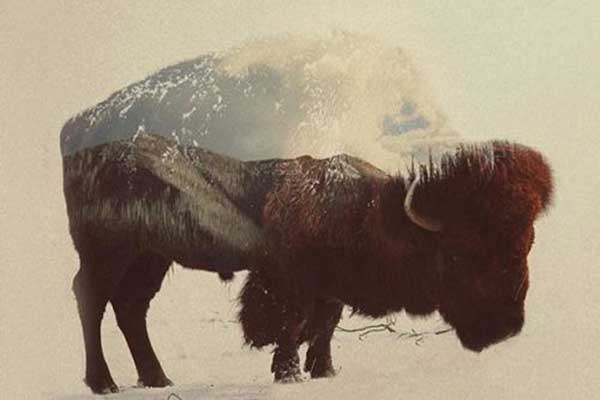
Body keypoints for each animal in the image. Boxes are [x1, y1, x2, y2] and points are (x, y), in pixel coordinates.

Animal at [62, 133, 552, 392]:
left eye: (525, 245)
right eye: (459, 252)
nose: (506, 326)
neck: (367, 214)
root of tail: (81, 157)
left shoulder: (328, 291)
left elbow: (325, 325)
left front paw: (324, 370)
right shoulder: (288, 284)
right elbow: (291, 326)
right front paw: (289, 374)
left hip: (150, 259)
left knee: (130, 309)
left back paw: (158, 379)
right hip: (109, 255)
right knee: (92, 300)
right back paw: (103, 382)